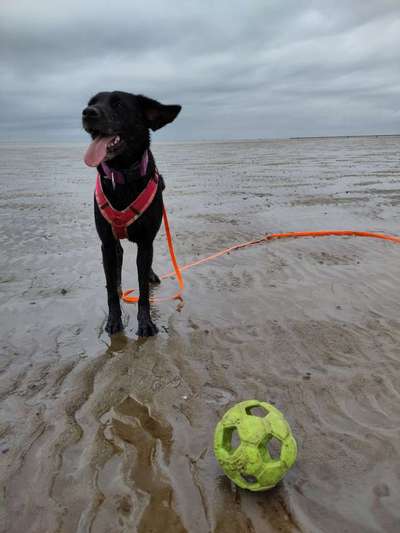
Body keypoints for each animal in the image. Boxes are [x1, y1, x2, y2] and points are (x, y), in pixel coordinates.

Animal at [82, 90, 181, 334]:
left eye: (118, 104)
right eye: (91, 102)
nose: (87, 112)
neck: (122, 174)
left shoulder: (146, 242)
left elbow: (143, 288)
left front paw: (146, 323)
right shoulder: (106, 243)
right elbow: (110, 291)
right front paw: (114, 320)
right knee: (116, 266)